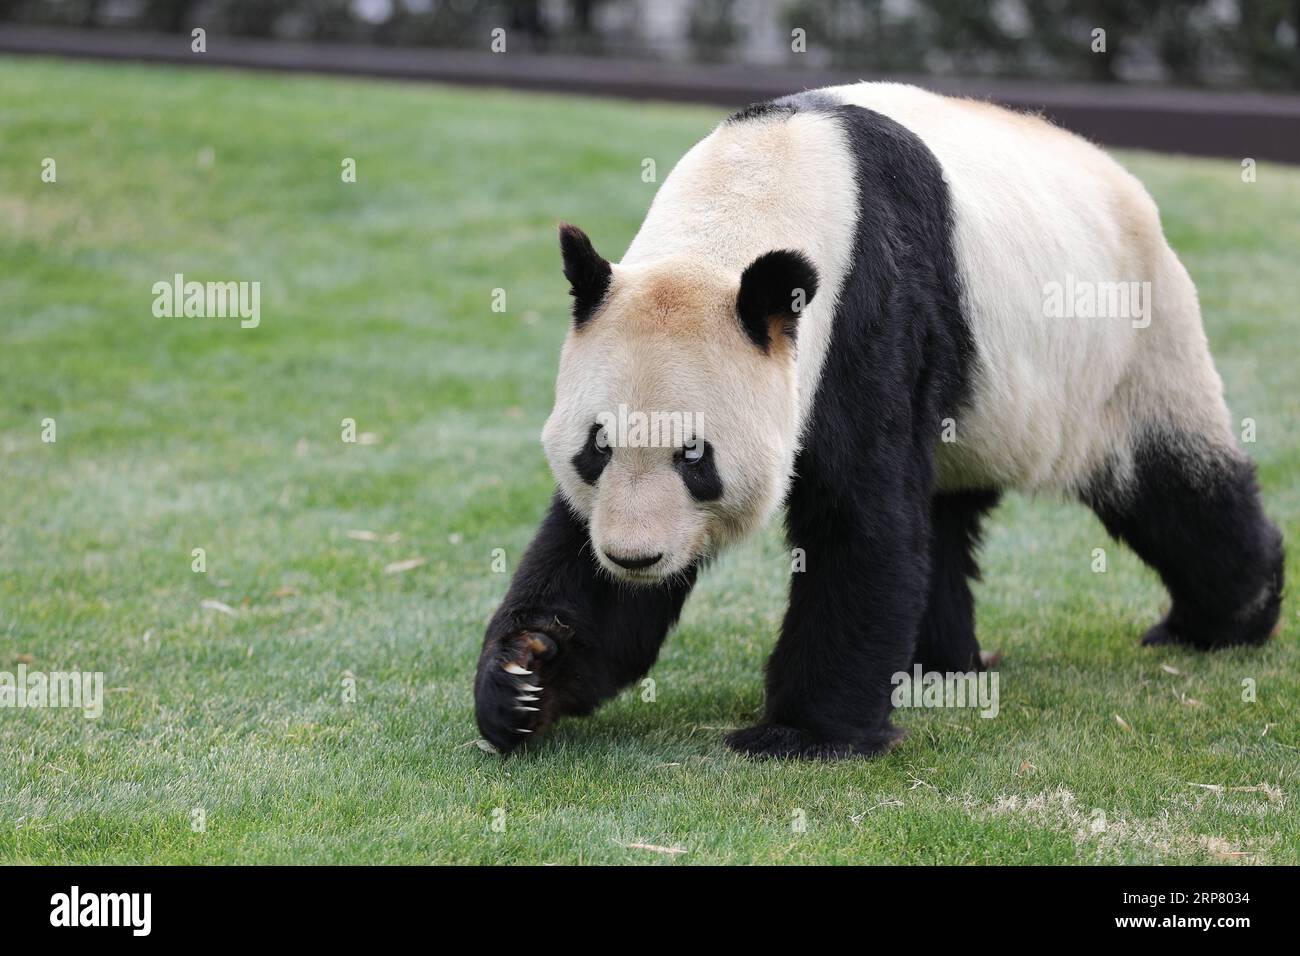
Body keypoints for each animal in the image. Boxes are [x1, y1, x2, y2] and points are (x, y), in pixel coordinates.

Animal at [474, 82, 1284, 759]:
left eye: (695, 457)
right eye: (597, 449)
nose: (635, 557)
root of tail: (1124, 181)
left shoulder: (871, 311)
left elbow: (859, 517)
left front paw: (802, 734)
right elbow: (579, 555)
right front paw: (525, 676)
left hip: (1132, 345)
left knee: (1173, 484)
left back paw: (1226, 618)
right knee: (944, 517)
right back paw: (939, 667)